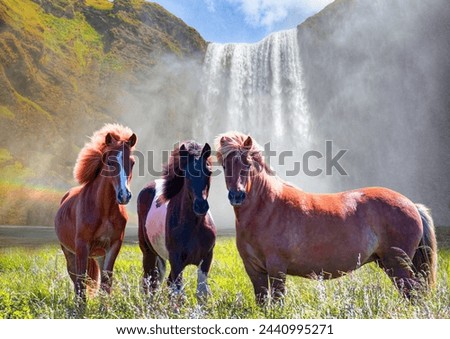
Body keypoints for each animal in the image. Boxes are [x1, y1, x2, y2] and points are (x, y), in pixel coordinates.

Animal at [54, 123, 136, 302]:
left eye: (132, 162)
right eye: (110, 161)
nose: (124, 195)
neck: (104, 210)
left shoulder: (113, 246)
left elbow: (106, 283)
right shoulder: (81, 247)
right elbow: (81, 283)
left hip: (98, 255)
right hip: (70, 253)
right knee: (76, 280)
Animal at [136, 141, 215, 302]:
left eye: (209, 172)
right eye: (186, 174)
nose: (201, 206)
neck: (194, 226)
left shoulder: (206, 259)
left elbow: (201, 293)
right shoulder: (177, 261)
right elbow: (178, 295)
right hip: (148, 252)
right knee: (149, 283)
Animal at [216, 131, 438, 304]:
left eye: (247, 164)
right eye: (225, 166)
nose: (236, 196)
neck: (266, 209)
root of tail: (412, 205)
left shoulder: (277, 268)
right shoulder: (254, 270)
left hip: (397, 265)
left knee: (413, 294)